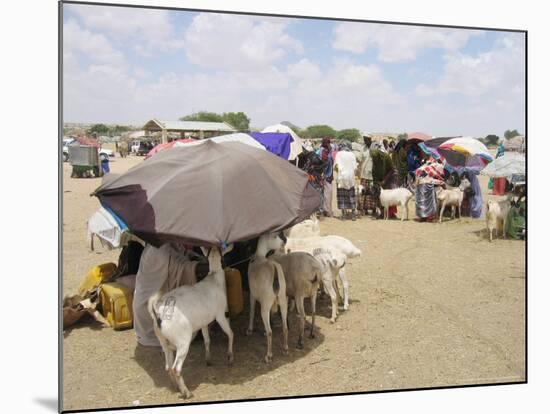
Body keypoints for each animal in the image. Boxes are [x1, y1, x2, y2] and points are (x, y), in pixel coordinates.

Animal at [148, 244, 234, 400]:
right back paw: (187, 392)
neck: (214, 279)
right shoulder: (220, 315)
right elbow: (230, 333)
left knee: (168, 366)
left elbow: (207, 340)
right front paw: (230, 358)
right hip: (182, 341)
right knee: (176, 368)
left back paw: (177, 388)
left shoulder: (204, 322)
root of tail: (158, 313)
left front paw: (208, 360)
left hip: (163, 342)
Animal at [248, 233, 292, 362]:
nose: (284, 241)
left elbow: (252, 310)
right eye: (276, 236)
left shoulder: (252, 294)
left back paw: (268, 356)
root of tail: (274, 269)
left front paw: (250, 330)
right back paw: (285, 349)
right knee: (285, 327)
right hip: (282, 299)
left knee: (270, 332)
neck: (259, 256)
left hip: (265, 303)